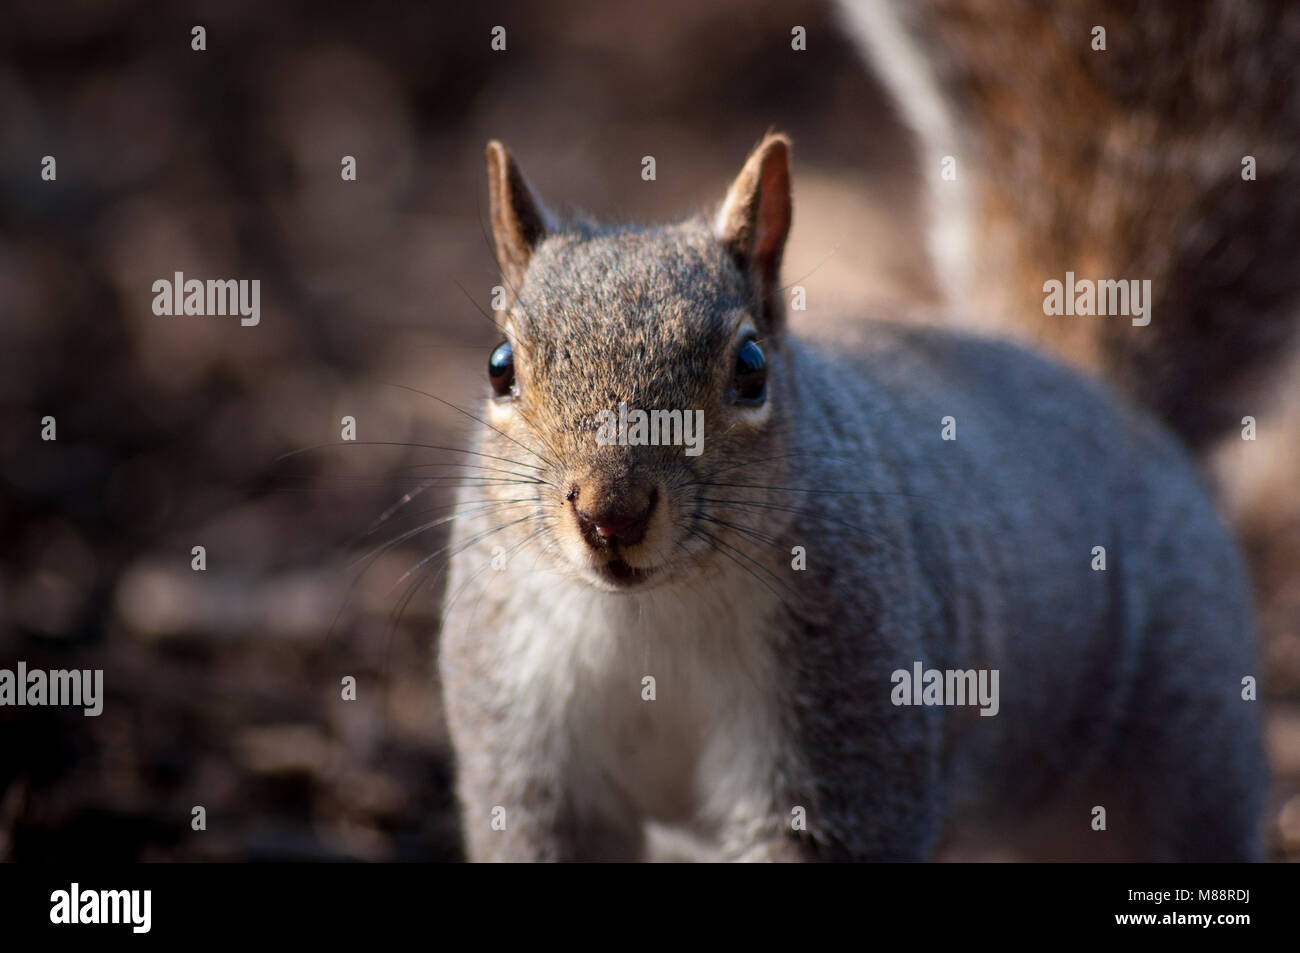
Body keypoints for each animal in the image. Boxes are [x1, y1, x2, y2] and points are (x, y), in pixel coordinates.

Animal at [434, 135, 1258, 863]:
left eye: (752, 367)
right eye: (500, 366)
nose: (612, 513)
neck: (647, 614)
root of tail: (1109, 401)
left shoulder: (845, 713)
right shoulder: (519, 732)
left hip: (1189, 743)